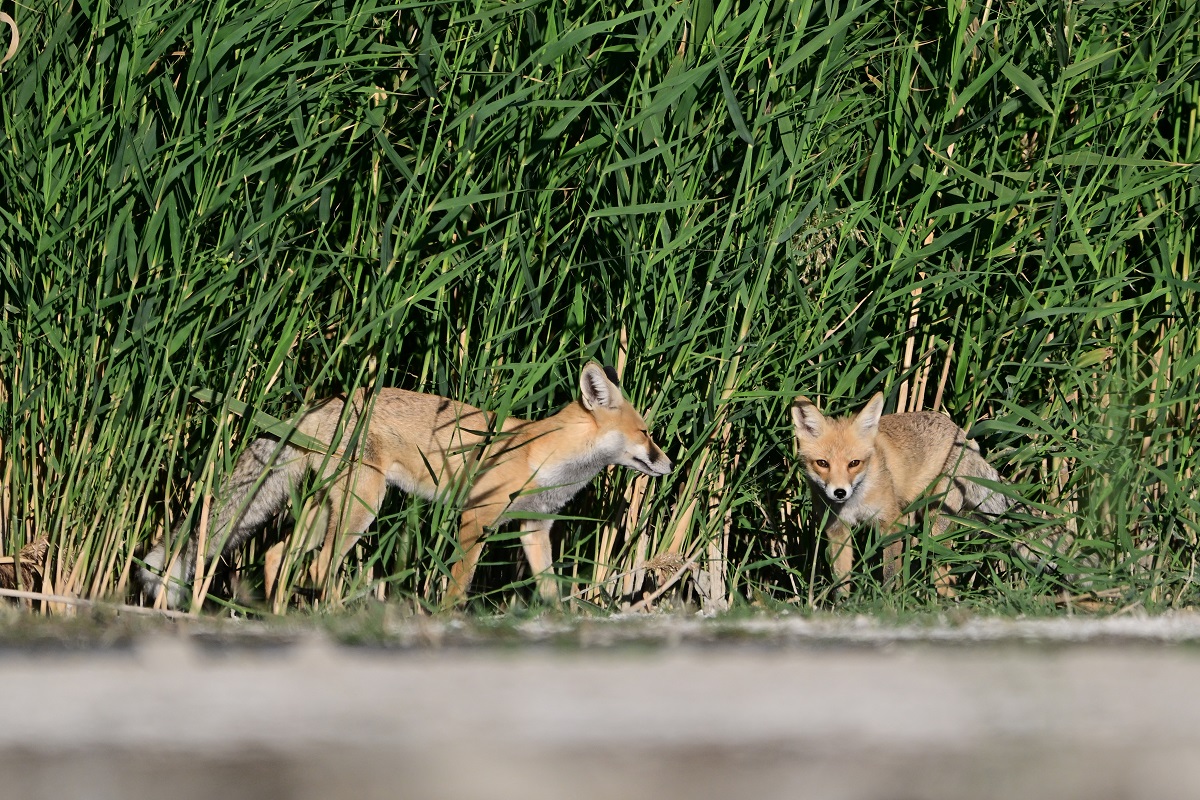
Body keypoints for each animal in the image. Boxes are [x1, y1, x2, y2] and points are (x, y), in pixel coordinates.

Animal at [138, 364, 676, 614]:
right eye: (647, 432)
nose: (670, 464)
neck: (543, 456)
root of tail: (324, 401)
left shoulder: (533, 528)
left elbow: (547, 587)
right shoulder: (475, 518)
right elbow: (458, 583)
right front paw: (446, 618)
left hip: (324, 510)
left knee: (277, 555)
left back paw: (281, 616)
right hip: (361, 508)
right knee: (317, 565)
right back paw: (330, 616)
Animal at [792, 391, 1008, 597]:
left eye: (854, 463)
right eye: (822, 463)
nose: (839, 492)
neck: (854, 504)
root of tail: (962, 432)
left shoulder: (890, 524)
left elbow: (888, 574)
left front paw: (885, 601)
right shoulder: (838, 530)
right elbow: (841, 582)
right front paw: (843, 605)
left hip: (935, 520)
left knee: (942, 570)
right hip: (913, 518)